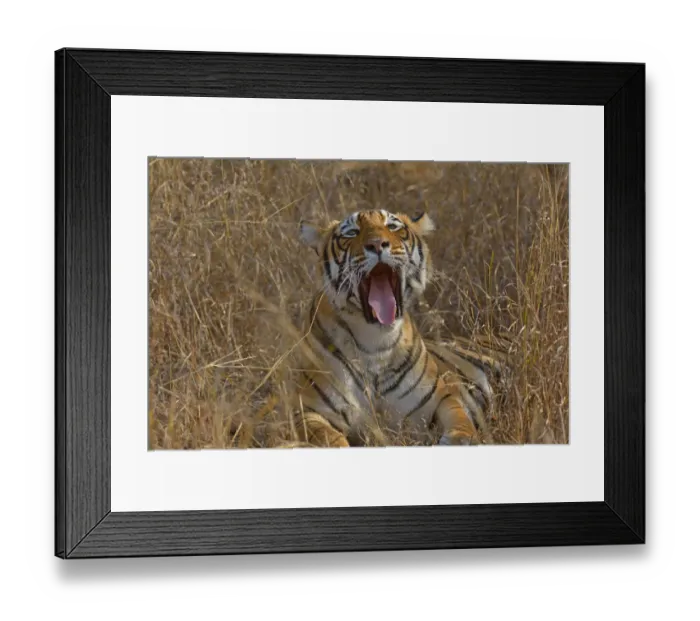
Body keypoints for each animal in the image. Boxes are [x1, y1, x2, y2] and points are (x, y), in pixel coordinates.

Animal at [290, 208, 510, 448]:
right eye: (351, 233)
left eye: (392, 227)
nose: (377, 244)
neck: (376, 344)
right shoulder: (309, 411)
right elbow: (327, 438)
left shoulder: (442, 396)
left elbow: (460, 421)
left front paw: (460, 440)